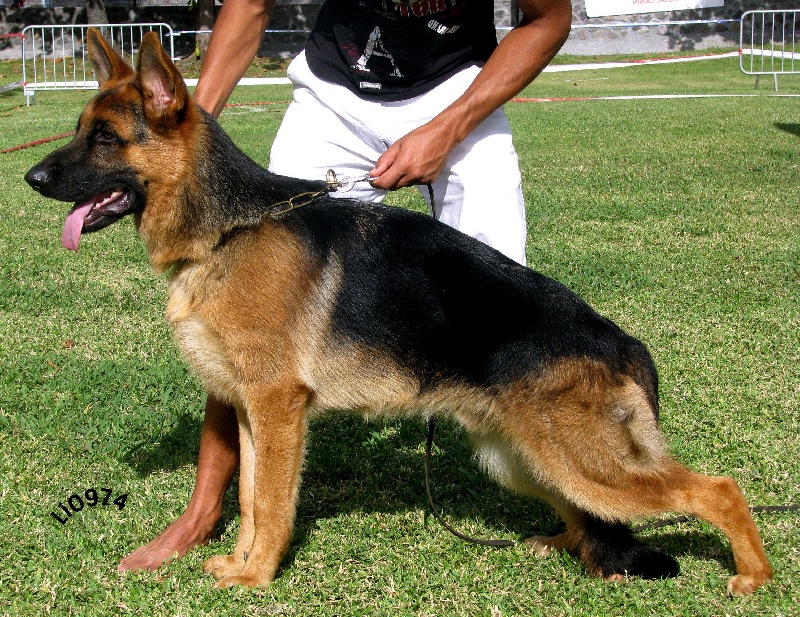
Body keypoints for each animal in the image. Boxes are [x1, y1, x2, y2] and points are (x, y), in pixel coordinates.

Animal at [25, 31, 772, 596]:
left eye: (105, 139)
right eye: (79, 131)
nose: (31, 178)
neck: (231, 228)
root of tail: (623, 342)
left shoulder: (278, 408)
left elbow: (270, 503)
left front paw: (258, 577)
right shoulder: (249, 412)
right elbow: (247, 498)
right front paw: (239, 562)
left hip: (578, 461)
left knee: (719, 490)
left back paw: (752, 577)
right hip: (521, 459)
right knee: (592, 513)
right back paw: (562, 542)